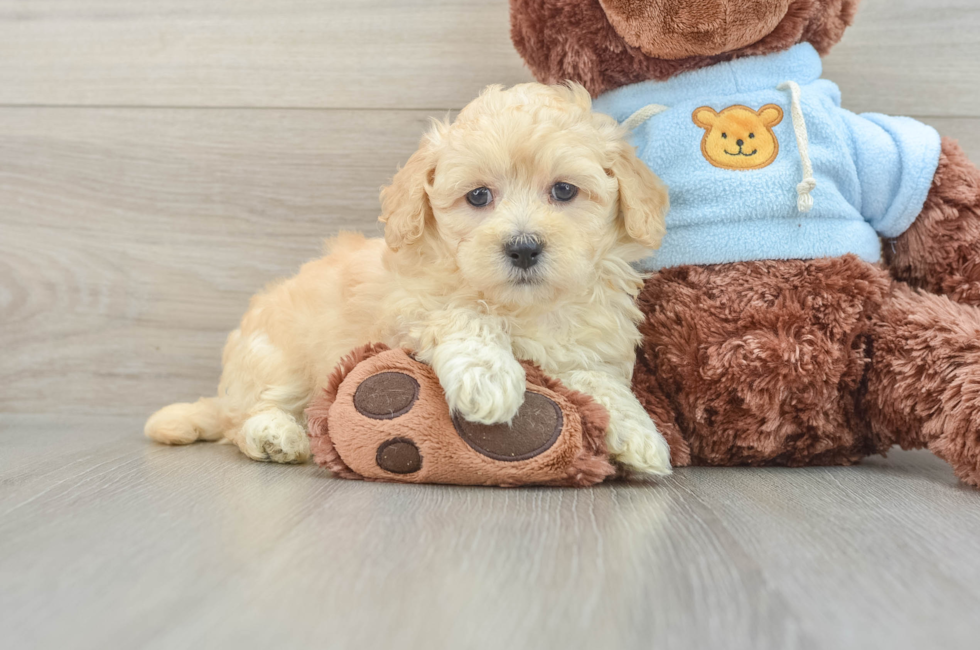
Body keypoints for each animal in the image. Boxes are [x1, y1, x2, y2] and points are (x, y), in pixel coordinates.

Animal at [145, 83, 672, 474]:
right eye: (478, 196)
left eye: (564, 190)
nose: (523, 248)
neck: (523, 305)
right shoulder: (411, 307)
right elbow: (465, 316)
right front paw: (489, 379)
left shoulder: (585, 347)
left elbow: (599, 381)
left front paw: (640, 434)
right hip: (278, 356)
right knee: (248, 416)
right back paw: (275, 435)